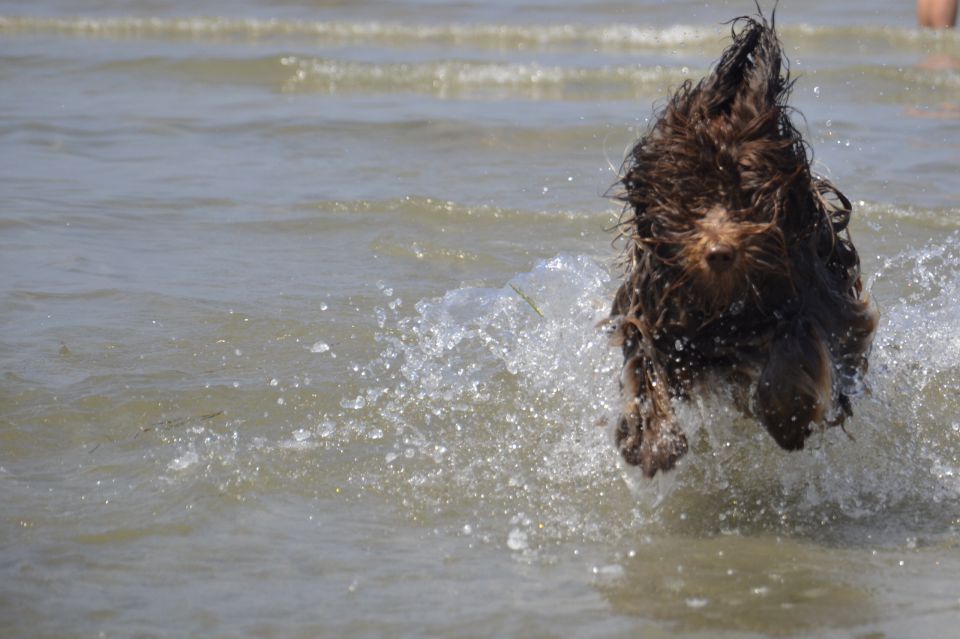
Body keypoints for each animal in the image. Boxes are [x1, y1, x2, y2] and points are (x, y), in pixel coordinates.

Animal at [608, 12, 876, 478]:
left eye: (748, 194)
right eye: (689, 195)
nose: (720, 253)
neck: (724, 301)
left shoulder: (814, 300)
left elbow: (794, 343)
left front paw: (788, 419)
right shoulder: (651, 307)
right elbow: (644, 361)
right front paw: (653, 441)